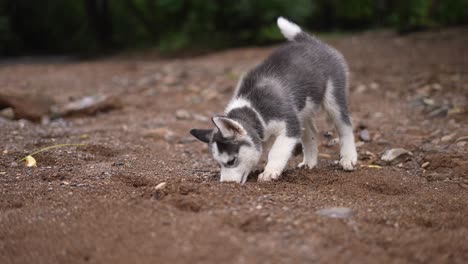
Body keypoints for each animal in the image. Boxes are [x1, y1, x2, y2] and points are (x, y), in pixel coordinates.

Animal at [190, 17, 358, 184]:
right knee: (310, 132)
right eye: (219, 164)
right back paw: (309, 162)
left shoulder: (289, 126)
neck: (254, 111)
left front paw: (269, 172)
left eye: (231, 161)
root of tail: (311, 42)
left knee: (345, 126)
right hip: (303, 111)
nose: (226, 184)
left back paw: (348, 158)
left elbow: (276, 151)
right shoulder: (293, 122)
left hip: (333, 98)